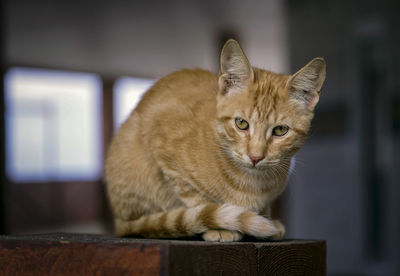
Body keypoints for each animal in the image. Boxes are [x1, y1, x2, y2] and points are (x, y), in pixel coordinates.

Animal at [106, 38, 324, 242]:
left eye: (280, 130)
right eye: (241, 123)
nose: (255, 157)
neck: (253, 183)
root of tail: (117, 222)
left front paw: (266, 218)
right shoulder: (162, 144)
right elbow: (195, 199)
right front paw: (218, 225)